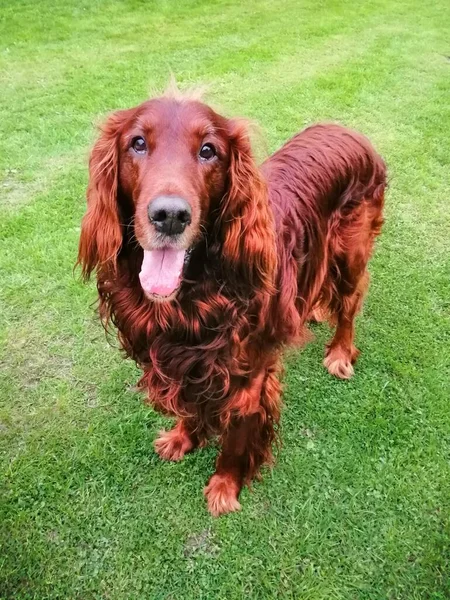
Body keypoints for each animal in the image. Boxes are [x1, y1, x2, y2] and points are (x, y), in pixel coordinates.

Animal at [79, 90, 384, 516]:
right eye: (137, 143)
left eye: (208, 150)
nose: (170, 216)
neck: (195, 298)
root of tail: (349, 131)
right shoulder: (182, 361)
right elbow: (190, 404)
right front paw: (183, 438)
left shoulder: (250, 375)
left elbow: (238, 437)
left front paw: (225, 487)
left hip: (350, 254)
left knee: (351, 304)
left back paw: (340, 353)